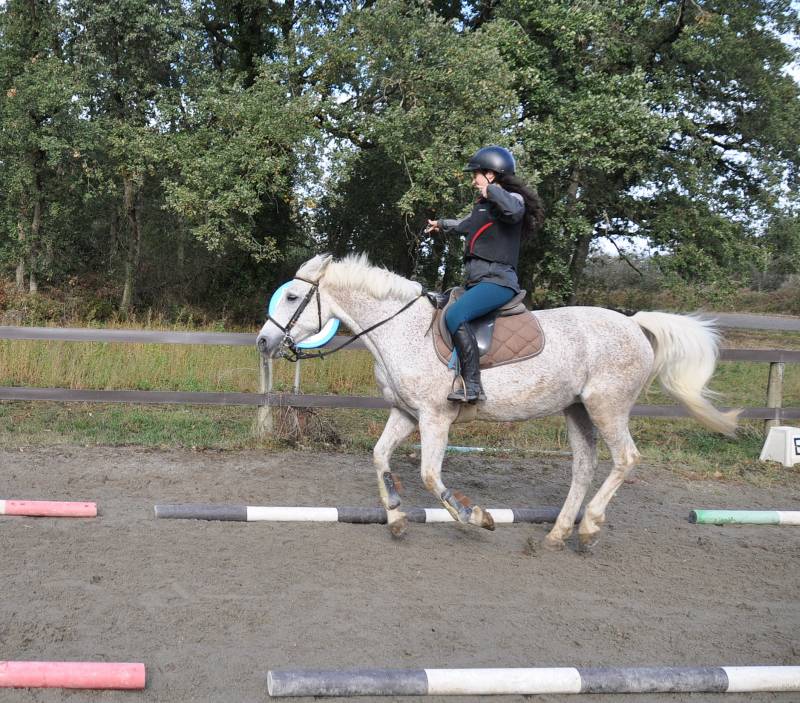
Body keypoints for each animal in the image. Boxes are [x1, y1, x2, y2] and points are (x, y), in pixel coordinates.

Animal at [256, 253, 739, 550]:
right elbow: (379, 456)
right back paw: (558, 533)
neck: (399, 330)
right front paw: (394, 517)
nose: (262, 341)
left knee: (626, 459)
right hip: (577, 409)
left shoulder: (435, 417)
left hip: (608, 406)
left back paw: (589, 527)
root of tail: (635, 324)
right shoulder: (406, 413)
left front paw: (476, 517)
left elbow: (430, 476)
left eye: (293, 297)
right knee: (584, 467)